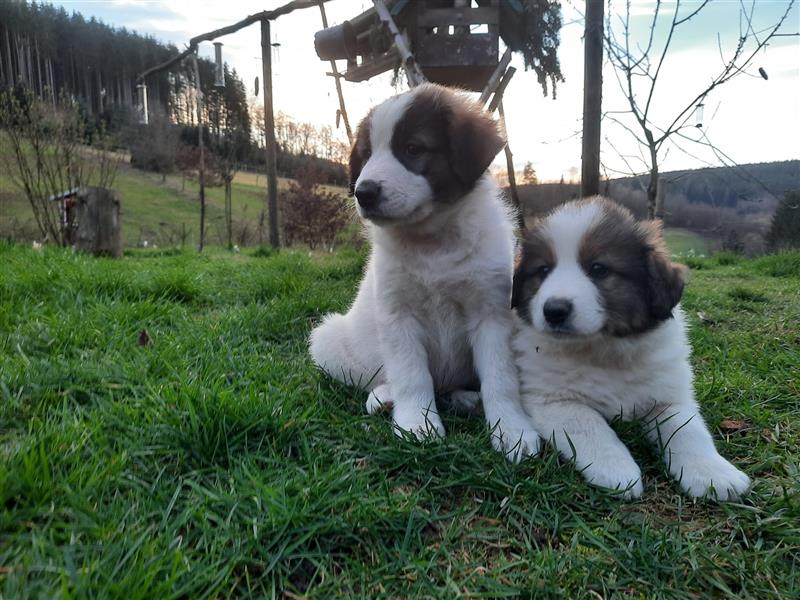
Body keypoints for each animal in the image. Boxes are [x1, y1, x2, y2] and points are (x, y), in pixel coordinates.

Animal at [310, 82, 540, 462]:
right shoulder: (397, 314)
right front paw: (417, 424)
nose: (363, 192)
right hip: (327, 339)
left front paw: (512, 429)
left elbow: (500, 378)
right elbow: (411, 375)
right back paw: (385, 397)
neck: (434, 242)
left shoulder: (491, 314)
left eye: (413, 148)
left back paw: (466, 398)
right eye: (366, 155)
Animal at [512, 199, 752, 500]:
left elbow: (689, 430)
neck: (603, 349)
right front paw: (617, 470)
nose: (554, 311)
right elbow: (590, 423)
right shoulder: (551, 399)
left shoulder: (669, 397)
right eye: (543, 270)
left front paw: (713, 474)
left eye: (599, 268)